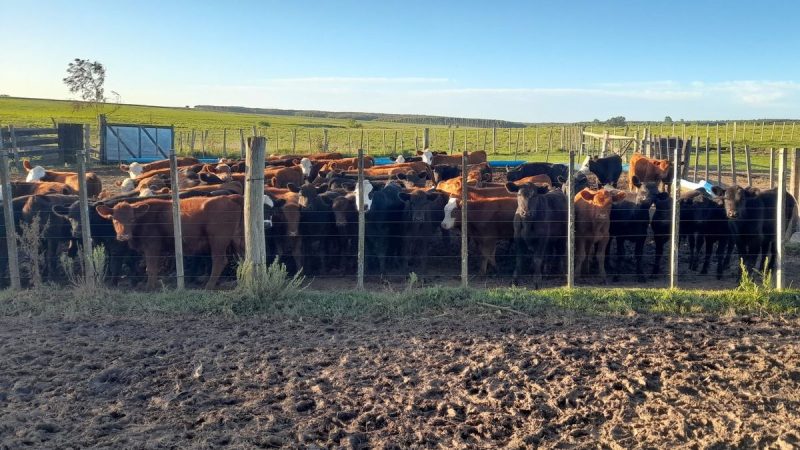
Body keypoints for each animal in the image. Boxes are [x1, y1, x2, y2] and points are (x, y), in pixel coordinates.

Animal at [96, 195, 245, 289]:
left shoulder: (152, 247)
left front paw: (149, 287)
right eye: (114, 219)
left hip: (218, 240)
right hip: (238, 240)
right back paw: (240, 282)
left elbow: (151, 267)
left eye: (132, 219)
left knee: (219, 261)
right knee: (243, 260)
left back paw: (209, 285)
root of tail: (230, 198)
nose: (124, 236)